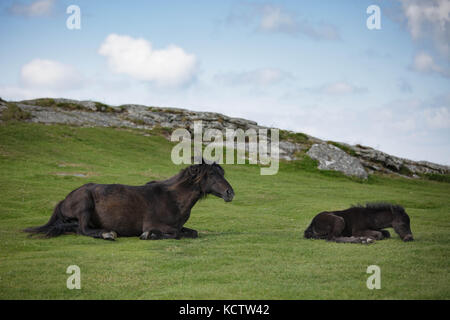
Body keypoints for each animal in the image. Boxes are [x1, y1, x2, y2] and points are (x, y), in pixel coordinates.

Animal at [23, 160, 236, 240]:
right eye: (212, 175)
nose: (230, 192)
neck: (172, 198)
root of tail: (64, 199)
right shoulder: (156, 224)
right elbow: (175, 234)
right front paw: (148, 235)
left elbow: (192, 233)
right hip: (85, 202)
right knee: (82, 230)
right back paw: (107, 234)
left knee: (74, 228)